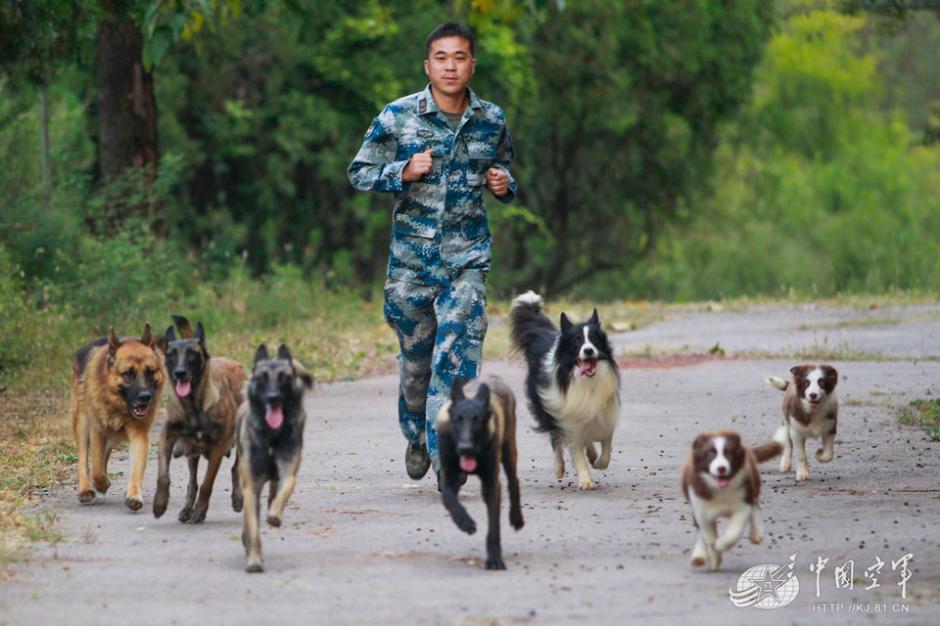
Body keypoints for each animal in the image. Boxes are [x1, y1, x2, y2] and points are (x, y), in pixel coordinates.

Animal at [70, 324, 165, 510]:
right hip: (82, 423)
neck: (119, 406)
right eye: (129, 374)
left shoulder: (139, 435)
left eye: (150, 372)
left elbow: (136, 469)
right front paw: (100, 484)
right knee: (84, 460)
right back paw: (86, 489)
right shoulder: (97, 431)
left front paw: (134, 495)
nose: (146, 397)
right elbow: (96, 466)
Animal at [151, 314, 246, 524]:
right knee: (192, 482)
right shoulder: (166, 437)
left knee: (236, 468)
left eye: (192, 354)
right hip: (191, 452)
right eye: (171, 354)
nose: (179, 373)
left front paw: (200, 511)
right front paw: (160, 503)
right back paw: (186, 508)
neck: (194, 404)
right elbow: (163, 475)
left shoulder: (219, 447)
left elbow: (207, 484)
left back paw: (237, 498)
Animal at [235, 344, 312, 572]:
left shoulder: (287, 473)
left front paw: (275, 516)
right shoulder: (251, 487)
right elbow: (252, 527)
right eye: (262, 378)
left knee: (272, 496)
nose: (273, 397)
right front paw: (254, 560)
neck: (272, 435)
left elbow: (284, 493)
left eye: (283, 377)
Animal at [436, 372, 524, 568]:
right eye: (458, 419)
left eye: (477, 421)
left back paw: (516, 518)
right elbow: (449, 499)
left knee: (514, 481)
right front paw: (465, 522)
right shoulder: (449, 477)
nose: (465, 448)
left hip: (508, 450)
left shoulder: (491, 483)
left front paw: (495, 558)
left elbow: (493, 526)